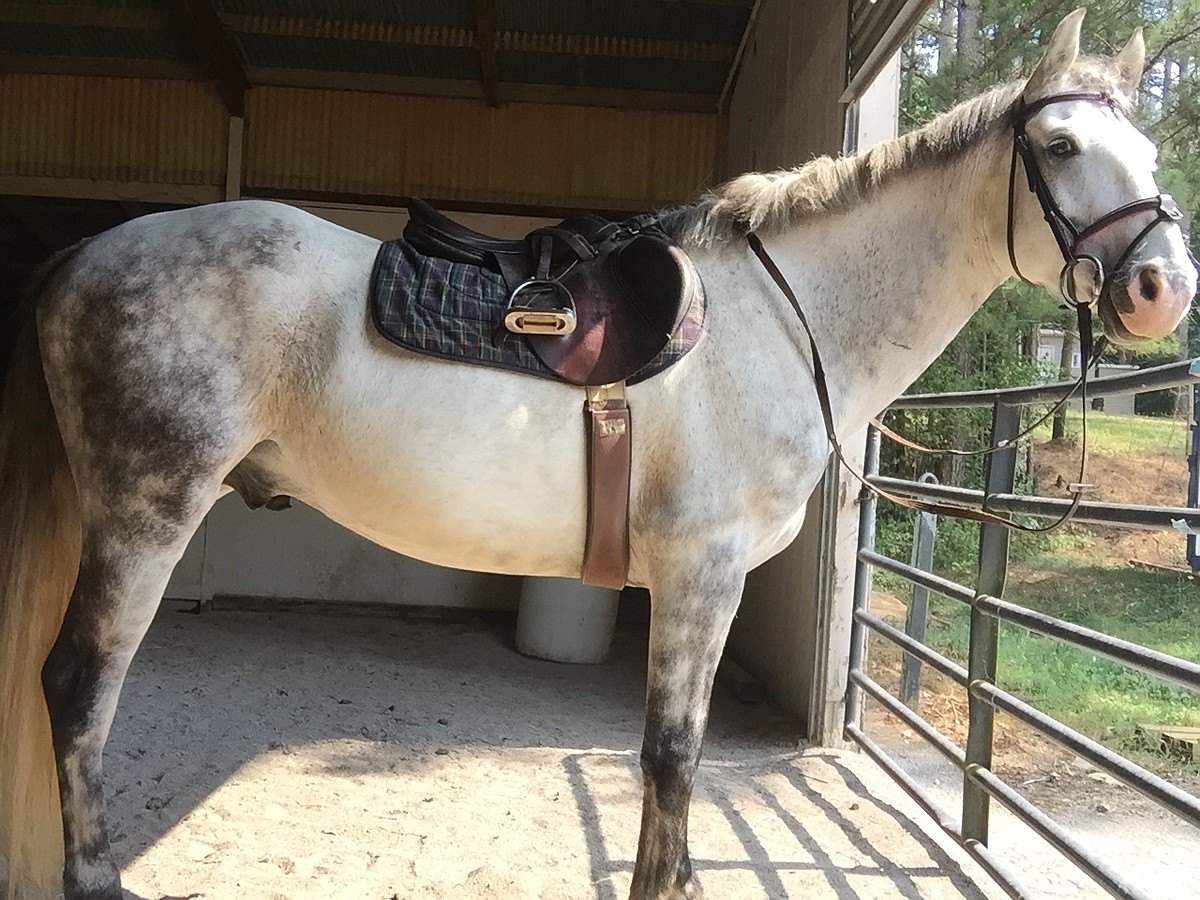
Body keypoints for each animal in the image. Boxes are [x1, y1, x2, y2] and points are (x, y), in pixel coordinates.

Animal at [1, 10, 1194, 900]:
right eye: (1060, 148)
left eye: (1148, 152)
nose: (1161, 289)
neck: (784, 320)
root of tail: (85, 254)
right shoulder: (700, 574)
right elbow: (671, 753)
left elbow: (681, 752)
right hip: (147, 514)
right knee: (80, 686)